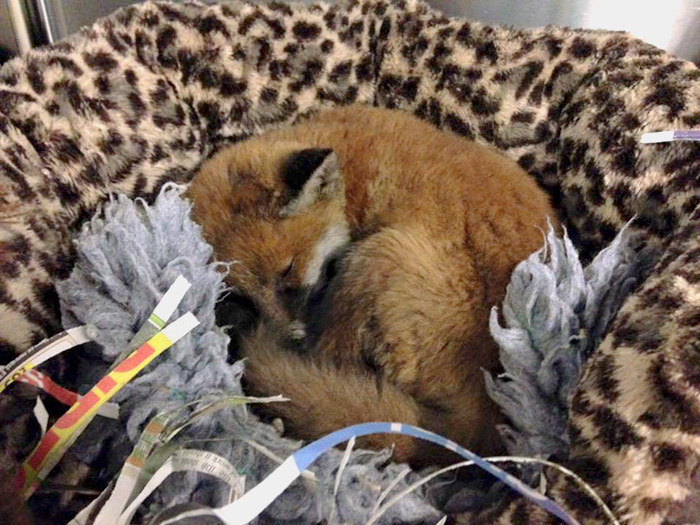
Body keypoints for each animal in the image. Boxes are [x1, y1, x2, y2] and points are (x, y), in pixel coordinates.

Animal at [186, 105, 558, 466]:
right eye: (244, 295)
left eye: (287, 271)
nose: (290, 338)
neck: (353, 177)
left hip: (375, 259)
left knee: (333, 355)